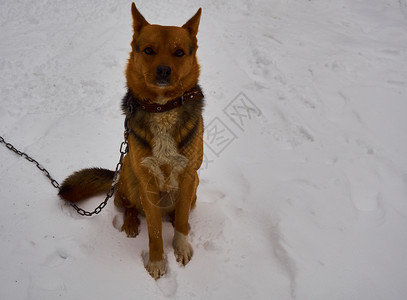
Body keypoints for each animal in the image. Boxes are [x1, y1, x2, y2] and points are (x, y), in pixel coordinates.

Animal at [58, 2, 203, 278]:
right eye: (148, 50)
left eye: (179, 52)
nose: (163, 71)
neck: (162, 108)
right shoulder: (147, 182)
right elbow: (155, 232)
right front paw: (156, 262)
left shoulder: (189, 175)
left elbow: (181, 222)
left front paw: (180, 246)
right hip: (129, 172)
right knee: (126, 204)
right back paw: (131, 222)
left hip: (194, 189)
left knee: (180, 212)